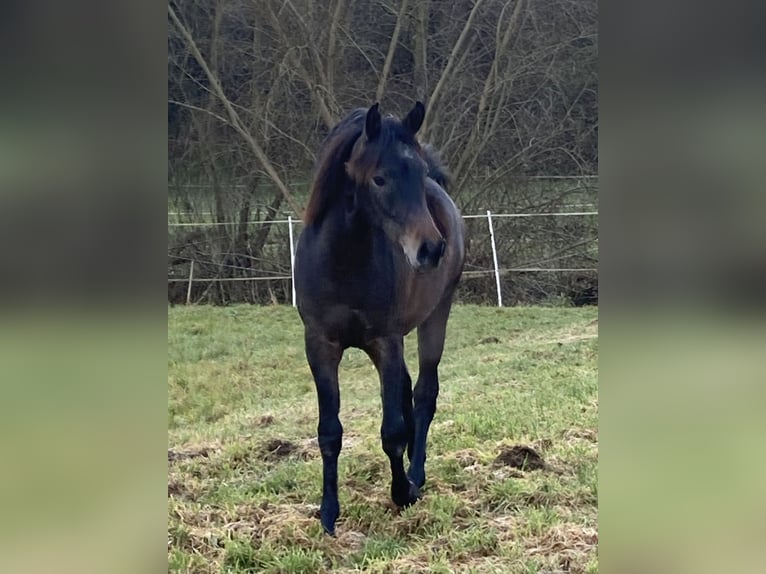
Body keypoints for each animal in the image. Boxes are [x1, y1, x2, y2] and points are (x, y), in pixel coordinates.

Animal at [294, 101, 464, 536]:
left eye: (418, 174)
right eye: (380, 178)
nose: (431, 248)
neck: (344, 261)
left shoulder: (386, 342)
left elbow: (393, 430)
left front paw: (403, 492)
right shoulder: (321, 346)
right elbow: (329, 432)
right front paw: (328, 513)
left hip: (435, 317)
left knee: (423, 395)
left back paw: (416, 474)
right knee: (407, 392)